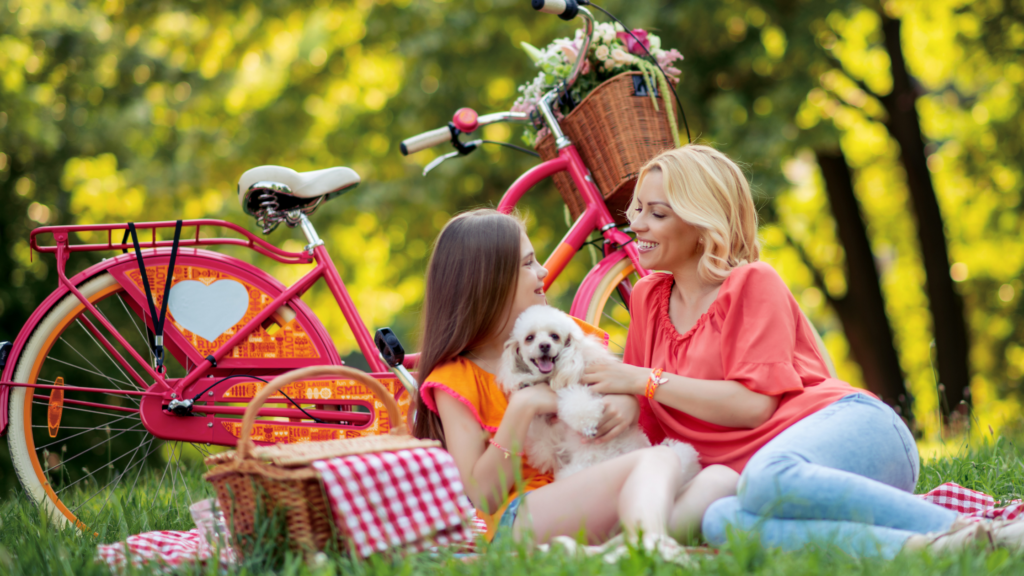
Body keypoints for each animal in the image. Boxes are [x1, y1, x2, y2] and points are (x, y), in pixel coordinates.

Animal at [497, 305, 704, 479]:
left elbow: (576, 399)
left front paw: (588, 425)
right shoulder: (545, 442)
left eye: (554, 336)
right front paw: (525, 383)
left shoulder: (584, 387)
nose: (544, 346)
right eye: (529, 338)